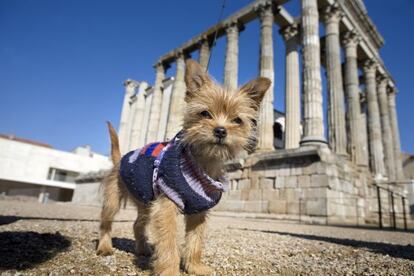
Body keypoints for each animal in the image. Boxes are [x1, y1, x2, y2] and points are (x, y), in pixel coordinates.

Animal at [97, 59, 272, 274]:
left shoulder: (198, 213)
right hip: (113, 201)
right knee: (106, 223)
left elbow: (195, 242)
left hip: (146, 203)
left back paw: (143, 249)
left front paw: (195, 266)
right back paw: (105, 247)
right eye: (204, 113)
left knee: (138, 224)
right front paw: (170, 271)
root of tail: (120, 159)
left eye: (237, 120)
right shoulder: (166, 207)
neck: (203, 164)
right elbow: (169, 244)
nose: (221, 130)